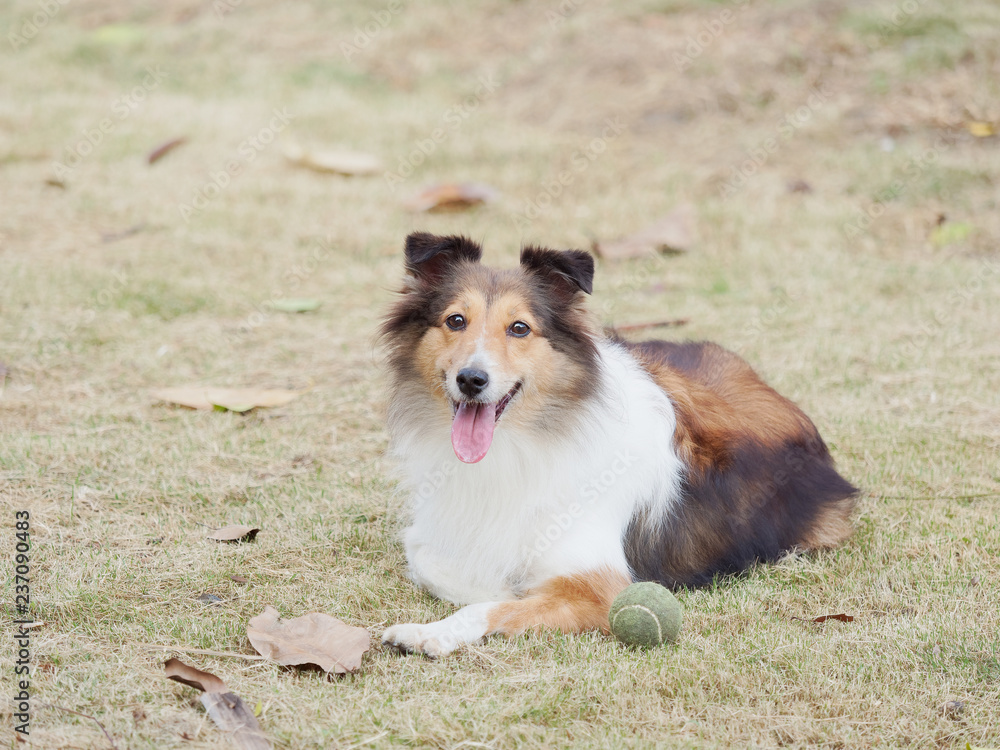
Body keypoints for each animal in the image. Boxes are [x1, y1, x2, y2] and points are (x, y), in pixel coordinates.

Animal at [378, 231, 856, 656]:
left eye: (519, 328)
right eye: (455, 320)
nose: (471, 379)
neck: (517, 445)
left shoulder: (598, 587)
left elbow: (490, 604)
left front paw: (429, 632)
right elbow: (429, 559)